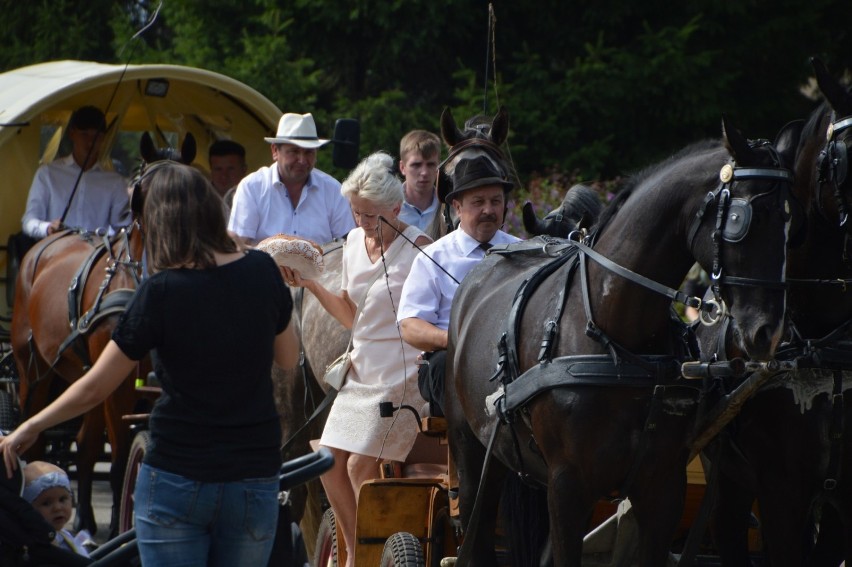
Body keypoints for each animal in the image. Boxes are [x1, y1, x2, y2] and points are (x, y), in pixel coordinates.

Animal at [9, 133, 196, 536]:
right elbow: (122, 457)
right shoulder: (122, 383)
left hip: (87, 371)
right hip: (32, 370)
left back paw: (84, 519)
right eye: (141, 194)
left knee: (87, 442)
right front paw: (122, 528)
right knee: (34, 437)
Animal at [446, 114, 800, 564]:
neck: (618, 337)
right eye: (742, 220)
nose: (766, 331)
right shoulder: (567, 485)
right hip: (473, 454)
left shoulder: (662, 485)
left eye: (791, 222)